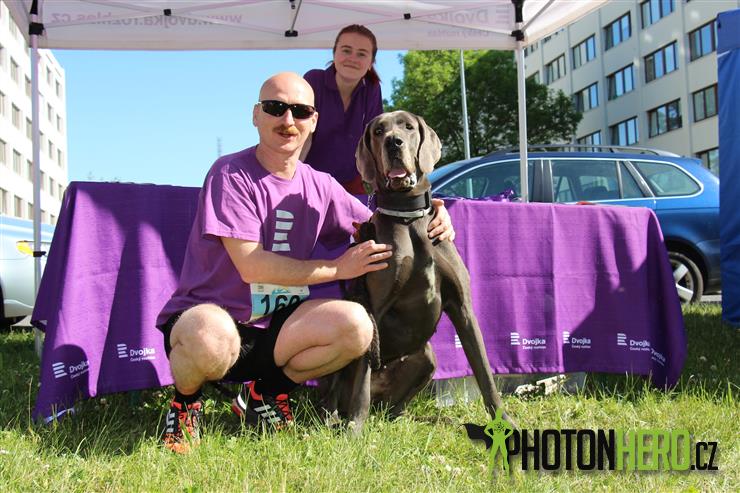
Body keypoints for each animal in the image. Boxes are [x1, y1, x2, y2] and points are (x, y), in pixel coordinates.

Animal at [324, 111, 512, 432]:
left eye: (408, 127)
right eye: (378, 131)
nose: (393, 143)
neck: (408, 216)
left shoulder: (463, 307)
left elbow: (485, 372)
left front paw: (504, 421)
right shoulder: (374, 306)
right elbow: (361, 379)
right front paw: (355, 429)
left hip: (427, 358)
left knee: (394, 409)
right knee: (341, 391)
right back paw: (337, 418)